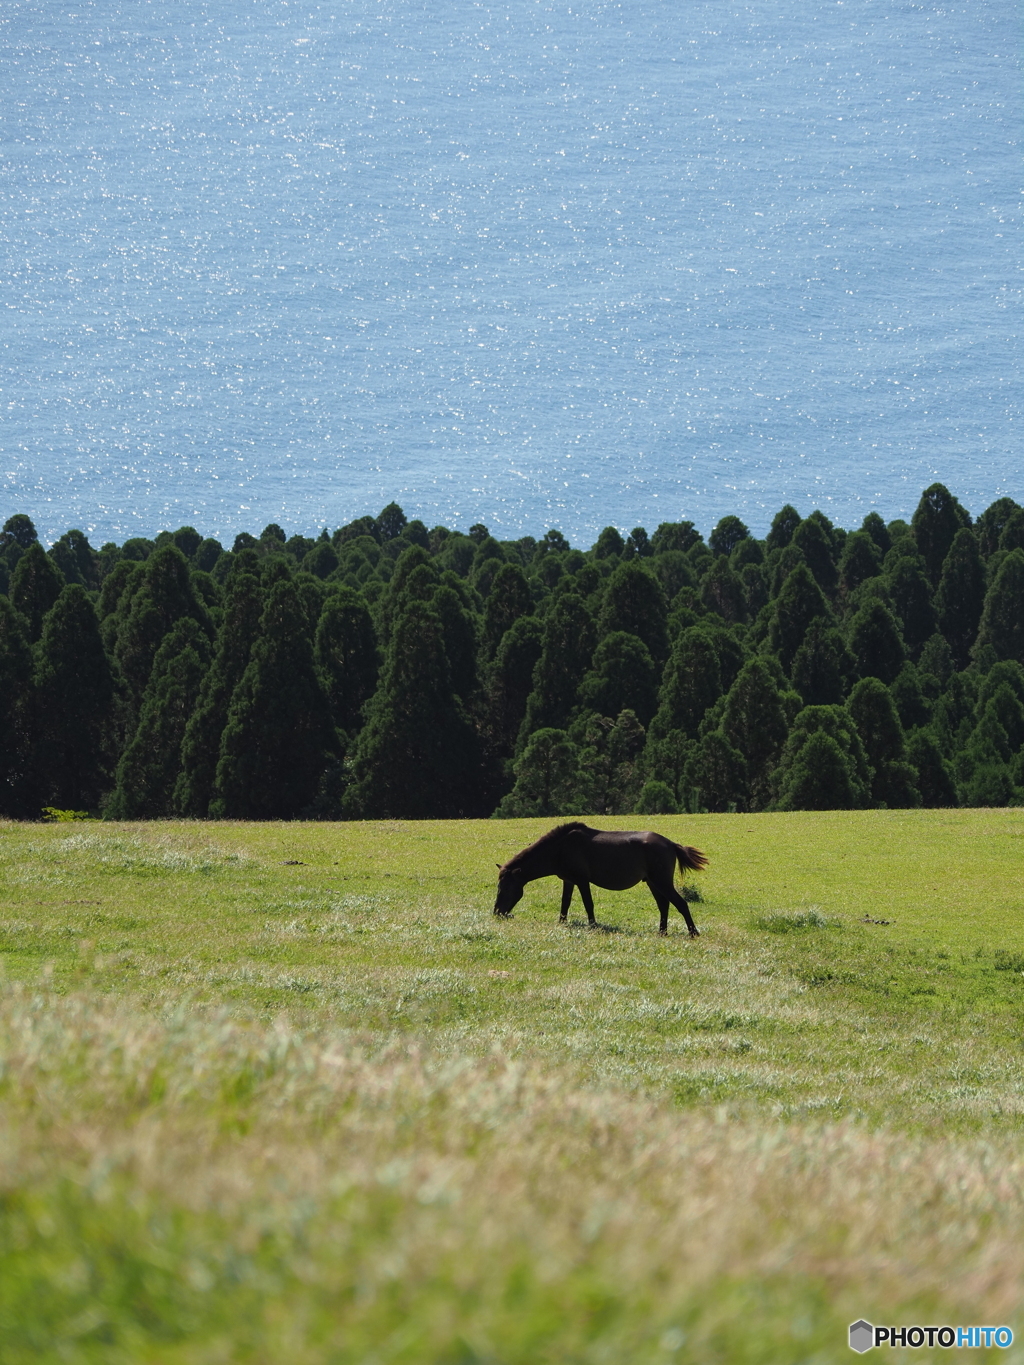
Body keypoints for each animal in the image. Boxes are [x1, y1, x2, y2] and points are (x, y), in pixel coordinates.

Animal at [494, 819, 709, 939]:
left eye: (505, 888)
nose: (497, 912)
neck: (559, 848)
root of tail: (671, 843)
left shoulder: (582, 880)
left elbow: (588, 904)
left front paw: (593, 925)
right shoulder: (568, 880)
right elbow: (565, 903)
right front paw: (562, 922)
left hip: (662, 882)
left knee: (681, 903)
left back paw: (693, 932)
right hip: (653, 883)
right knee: (664, 906)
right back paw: (662, 932)